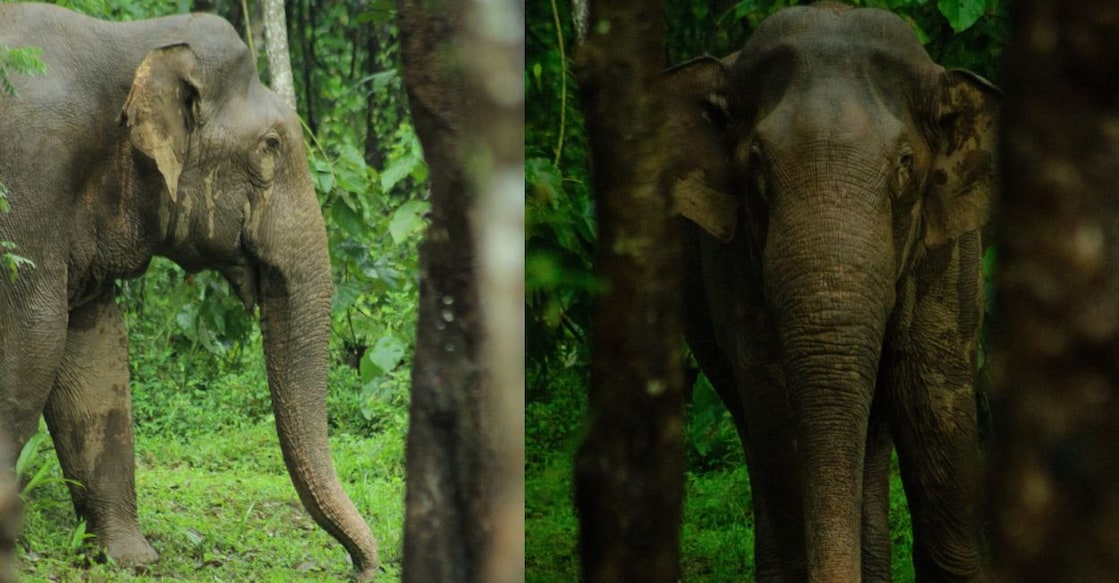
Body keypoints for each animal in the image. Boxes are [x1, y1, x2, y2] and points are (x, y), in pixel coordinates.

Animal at [0, 4, 377, 579]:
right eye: (270, 147)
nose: (362, 568)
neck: (130, 42)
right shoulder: (30, 171)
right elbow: (32, 339)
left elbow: (95, 351)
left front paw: (131, 559)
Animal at [666, 5, 997, 582]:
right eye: (755, 163)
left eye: (905, 163)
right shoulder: (730, 262)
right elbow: (777, 403)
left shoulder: (949, 250)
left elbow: (931, 394)